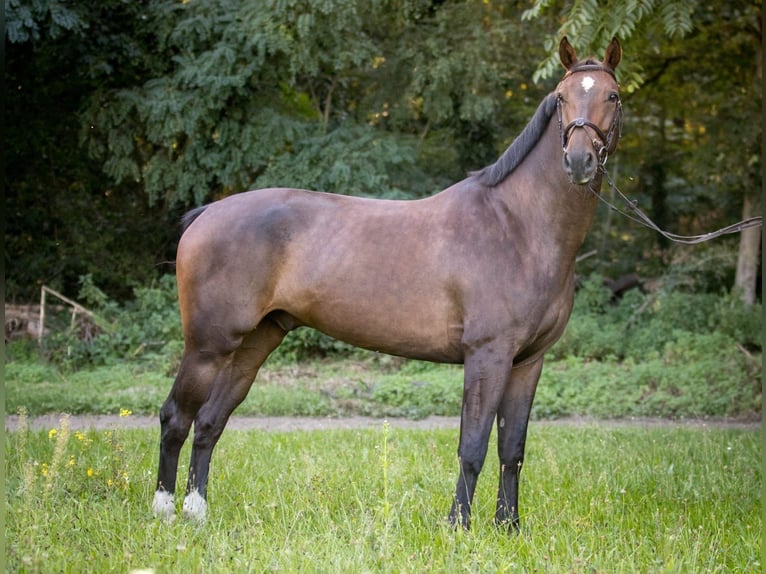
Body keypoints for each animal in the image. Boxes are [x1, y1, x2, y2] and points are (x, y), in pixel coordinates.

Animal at [153, 36, 623, 531]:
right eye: (561, 97)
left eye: (613, 96)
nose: (578, 161)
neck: (517, 225)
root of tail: (208, 213)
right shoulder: (488, 355)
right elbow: (472, 447)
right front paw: (458, 527)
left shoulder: (528, 362)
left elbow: (511, 449)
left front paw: (508, 528)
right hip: (209, 345)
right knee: (176, 417)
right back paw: (164, 511)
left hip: (254, 343)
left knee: (209, 422)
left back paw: (197, 513)